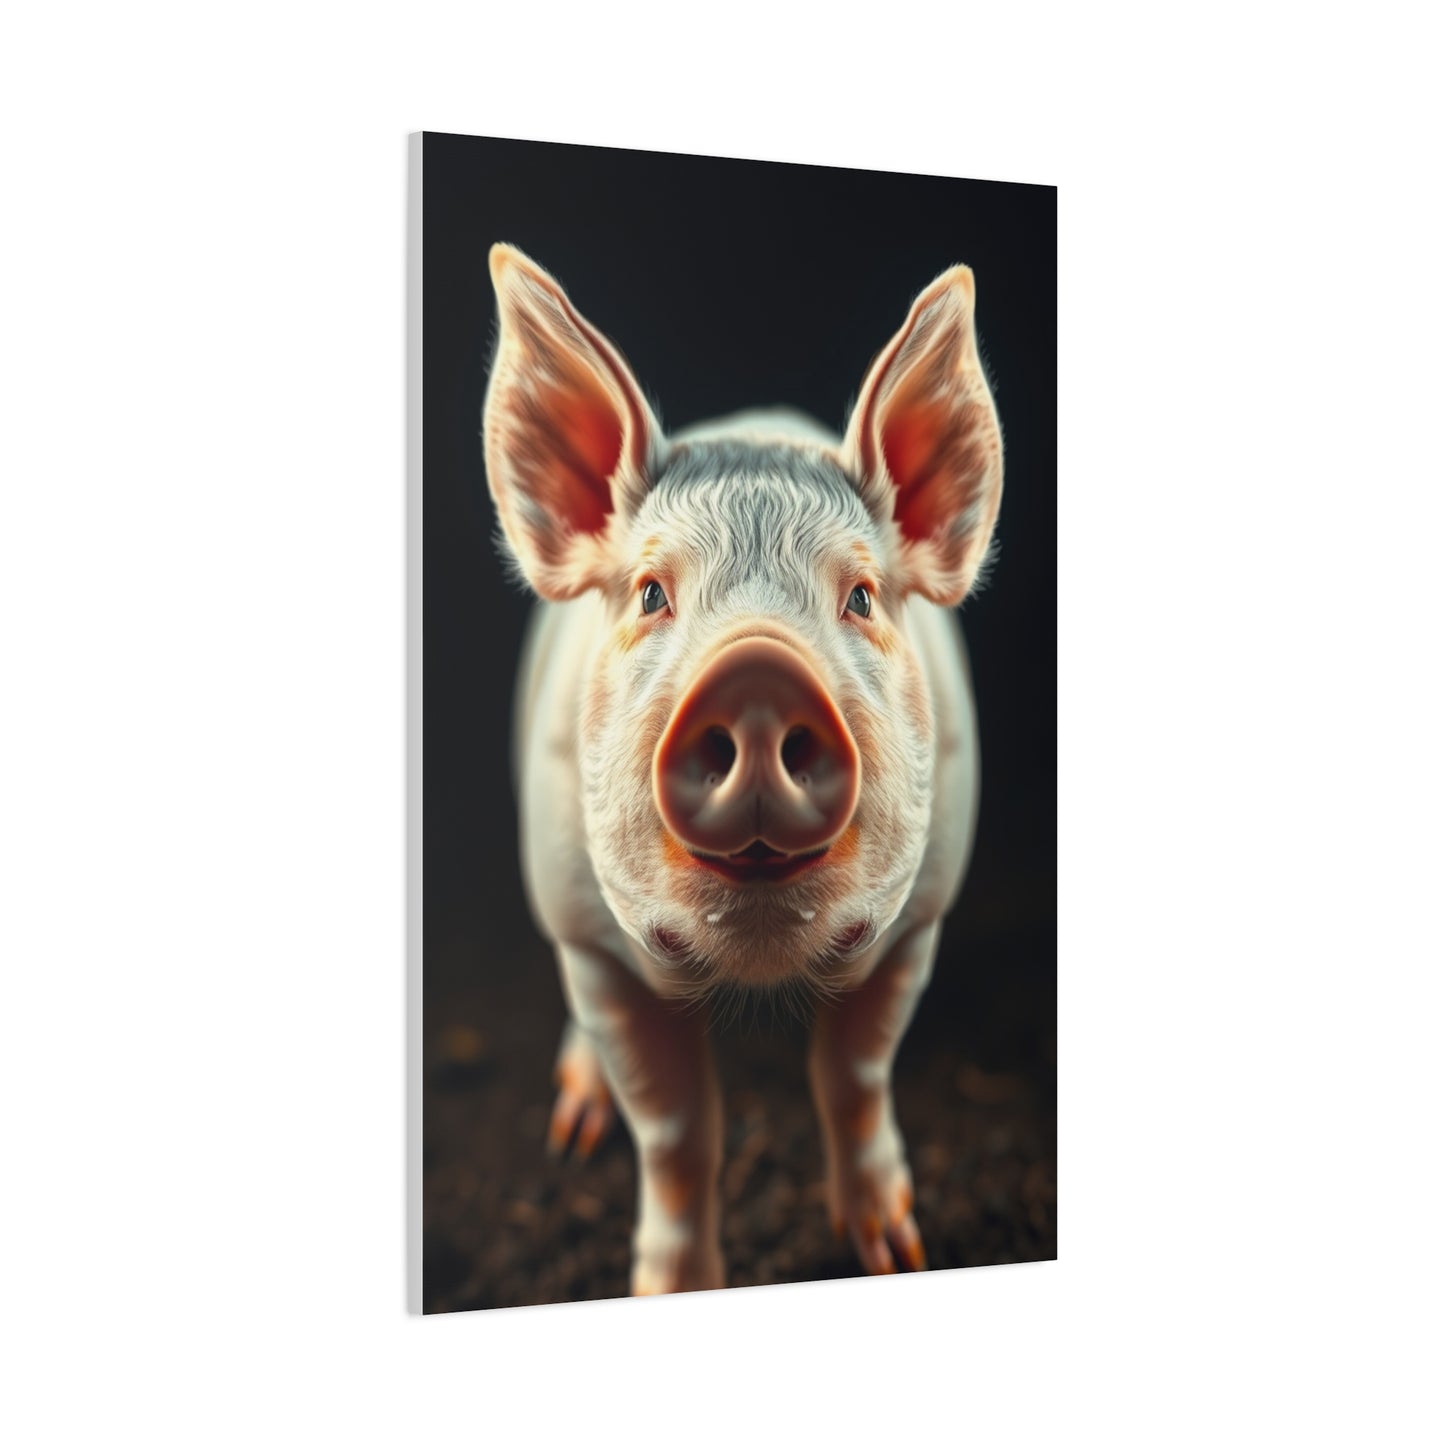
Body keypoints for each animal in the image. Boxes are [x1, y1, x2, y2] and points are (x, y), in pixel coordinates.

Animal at [481, 243, 1003, 1294]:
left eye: (860, 596)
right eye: (650, 592)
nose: (758, 673)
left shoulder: (919, 917)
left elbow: (854, 1074)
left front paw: (897, 1252)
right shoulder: (594, 946)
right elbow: (677, 1132)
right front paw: (670, 1286)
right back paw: (573, 1120)